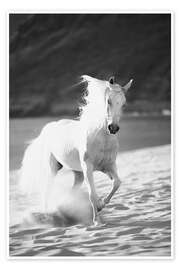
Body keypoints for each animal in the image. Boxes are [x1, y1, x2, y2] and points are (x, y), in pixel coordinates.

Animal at [19, 75, 133, 225]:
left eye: (124, 104)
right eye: (109, 101)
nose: (113, 128)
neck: (102, 139)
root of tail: (48, 128)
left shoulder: (109, 166)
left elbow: (117, 183)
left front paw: (101, 204)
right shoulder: (88, 167)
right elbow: (92, 194)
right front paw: (97, 221)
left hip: (78, 173)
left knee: (72, 190)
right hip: (53, 168)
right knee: (47, 190)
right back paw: (47, 214)